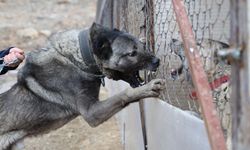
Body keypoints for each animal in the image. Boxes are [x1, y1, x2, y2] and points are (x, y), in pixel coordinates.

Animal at [0, 22, 165, 149]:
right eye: (131, 53)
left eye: (143, 45)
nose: (157, 61)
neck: (78, 59)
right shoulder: (91, 113)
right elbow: (124, 94)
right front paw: (148, 88)